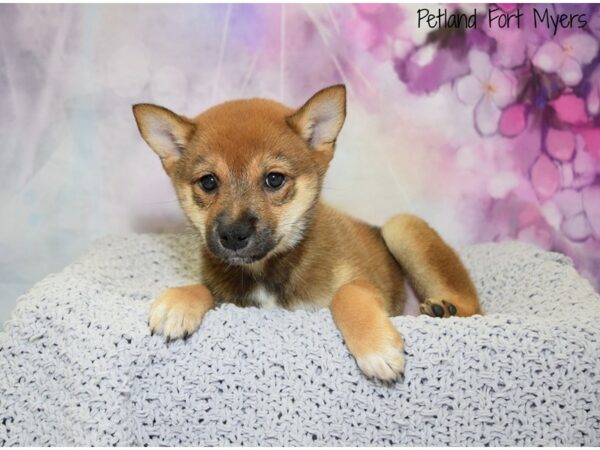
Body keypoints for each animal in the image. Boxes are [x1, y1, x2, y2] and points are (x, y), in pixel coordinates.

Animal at [132, 84, 482, 380]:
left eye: (274, 179)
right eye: (208, 182)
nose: (232, 235)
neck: (267, 271)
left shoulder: (369, 285)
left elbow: (346, 293)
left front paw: (376, 349)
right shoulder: (231, 300)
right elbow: (203, 289)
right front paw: (177, 303)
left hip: (401, 226)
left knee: (474, 309)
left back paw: (442, 309)